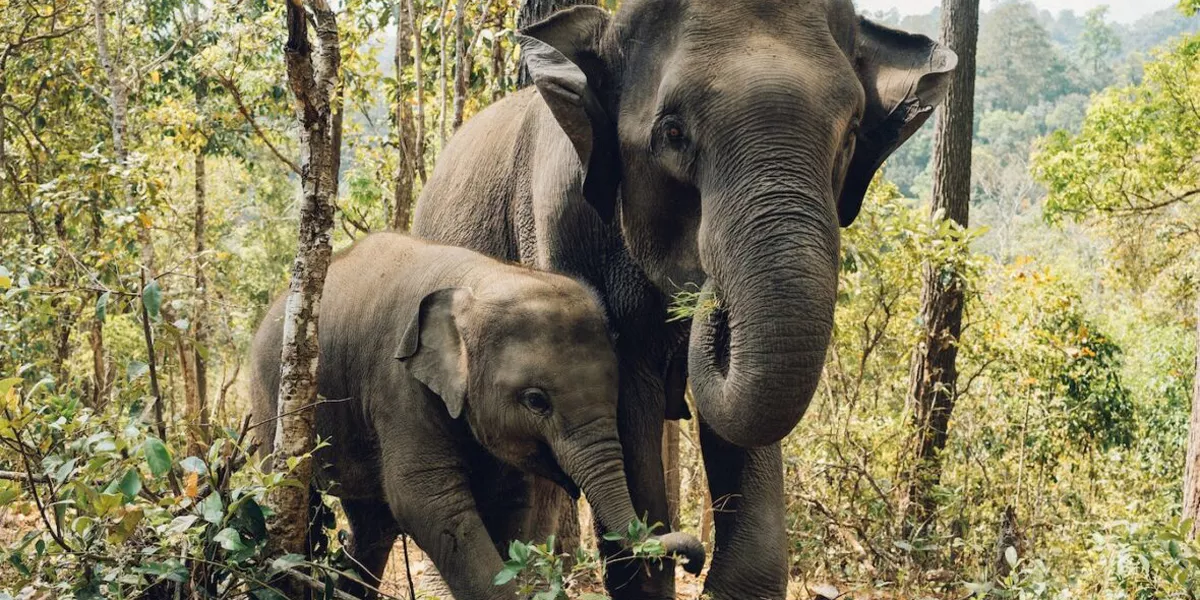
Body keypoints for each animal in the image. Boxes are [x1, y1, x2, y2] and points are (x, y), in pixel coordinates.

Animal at [249, 233, 705, 600]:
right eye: (536, 401)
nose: (693, 561)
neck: (479, 280)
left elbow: (511, 501)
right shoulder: (398, 384)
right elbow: (427, 500)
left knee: (372, 524)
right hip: (272, 402)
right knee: (300, 501)